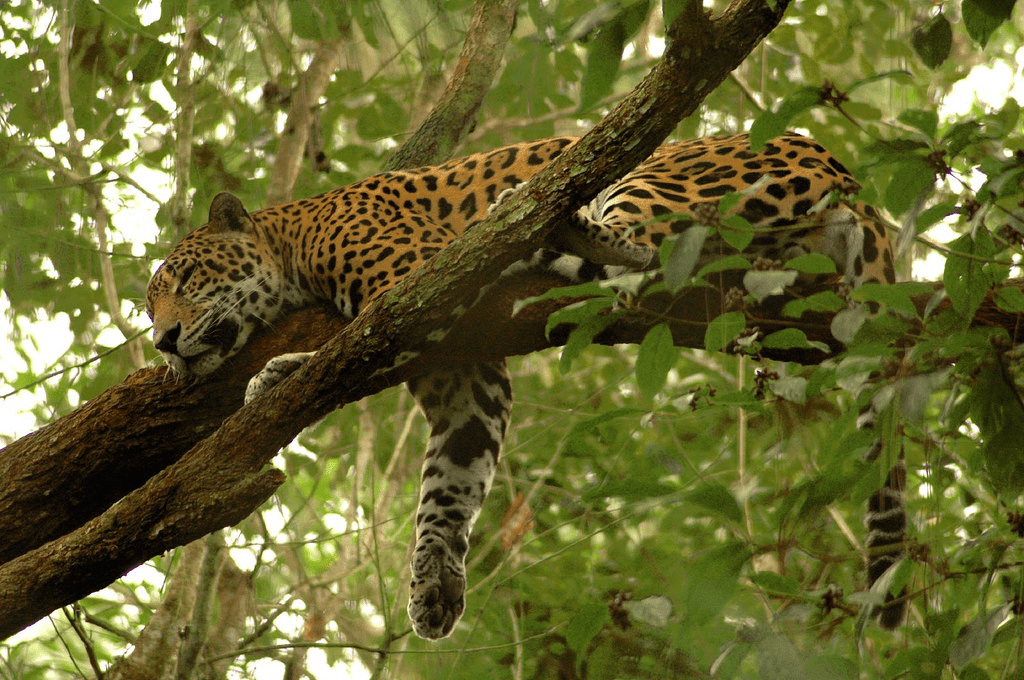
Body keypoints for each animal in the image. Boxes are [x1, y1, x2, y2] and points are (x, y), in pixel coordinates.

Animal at [146, 132, 902, 639]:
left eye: (184, 279)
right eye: (149, 307)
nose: (163, 342)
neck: (292, 239)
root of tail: (853, 179)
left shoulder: (414, 286)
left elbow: (352, 347)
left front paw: (280, 372)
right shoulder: (465, 383)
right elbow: (450, 485)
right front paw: (433, 586)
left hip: (660, 177)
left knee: (642, 251)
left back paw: (533, 217)